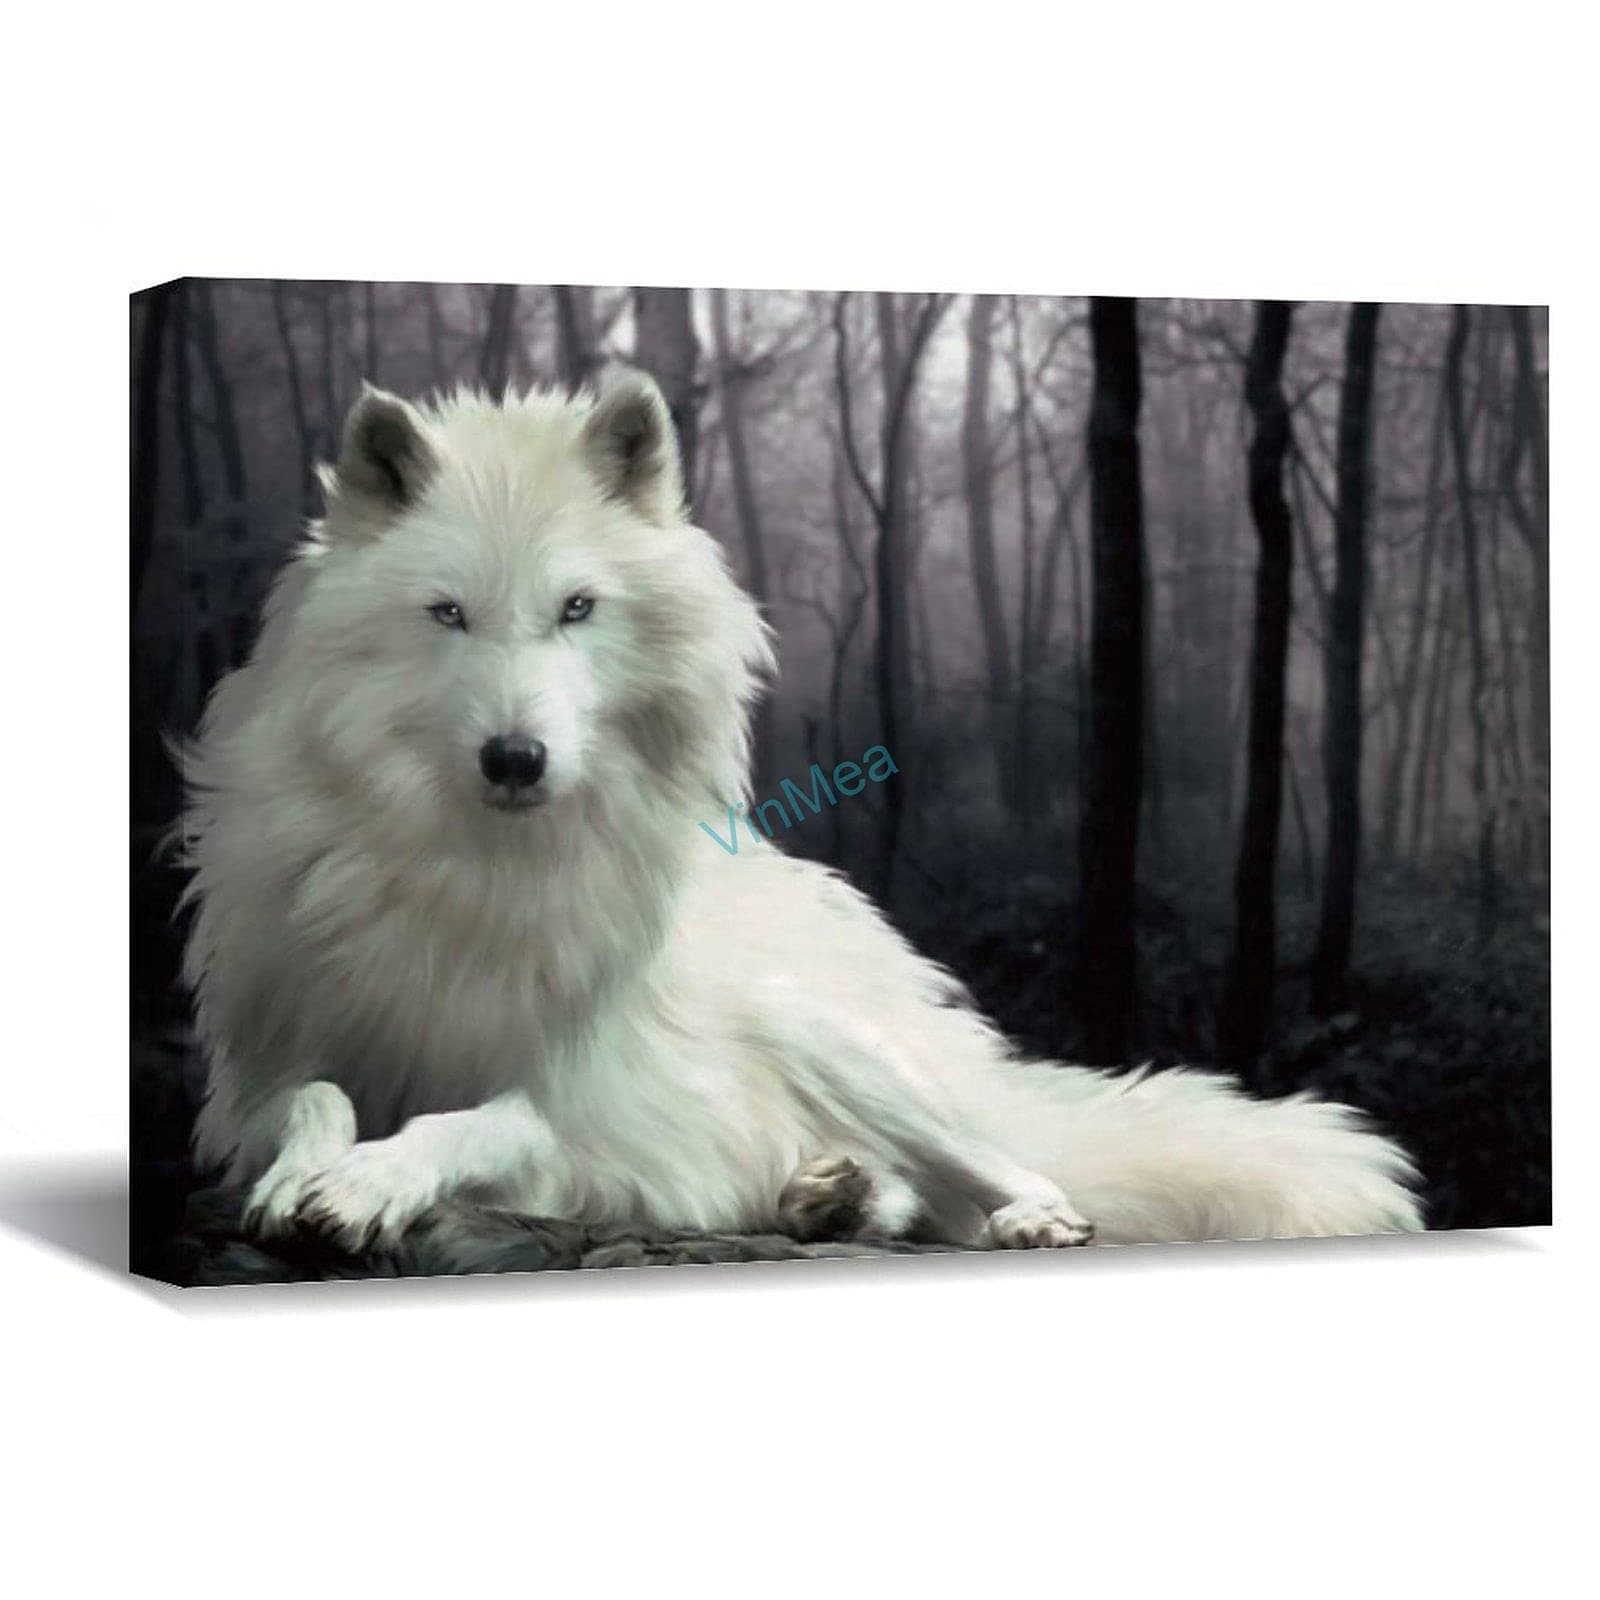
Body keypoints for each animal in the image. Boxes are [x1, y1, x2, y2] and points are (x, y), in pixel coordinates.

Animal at [179, 373, 1420, 1262]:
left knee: (999, 1168)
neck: (472, 866)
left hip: (833, 1043)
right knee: (907, 1198)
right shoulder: (264, 1067)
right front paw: (305, 1173)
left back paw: (1009, 1213)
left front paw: (367, 1181)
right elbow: (320, 1097)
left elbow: (470, 1121)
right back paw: (827, 1196)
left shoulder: (589, 1110)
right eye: (447, 614)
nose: (516, 758)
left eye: (577, 608)